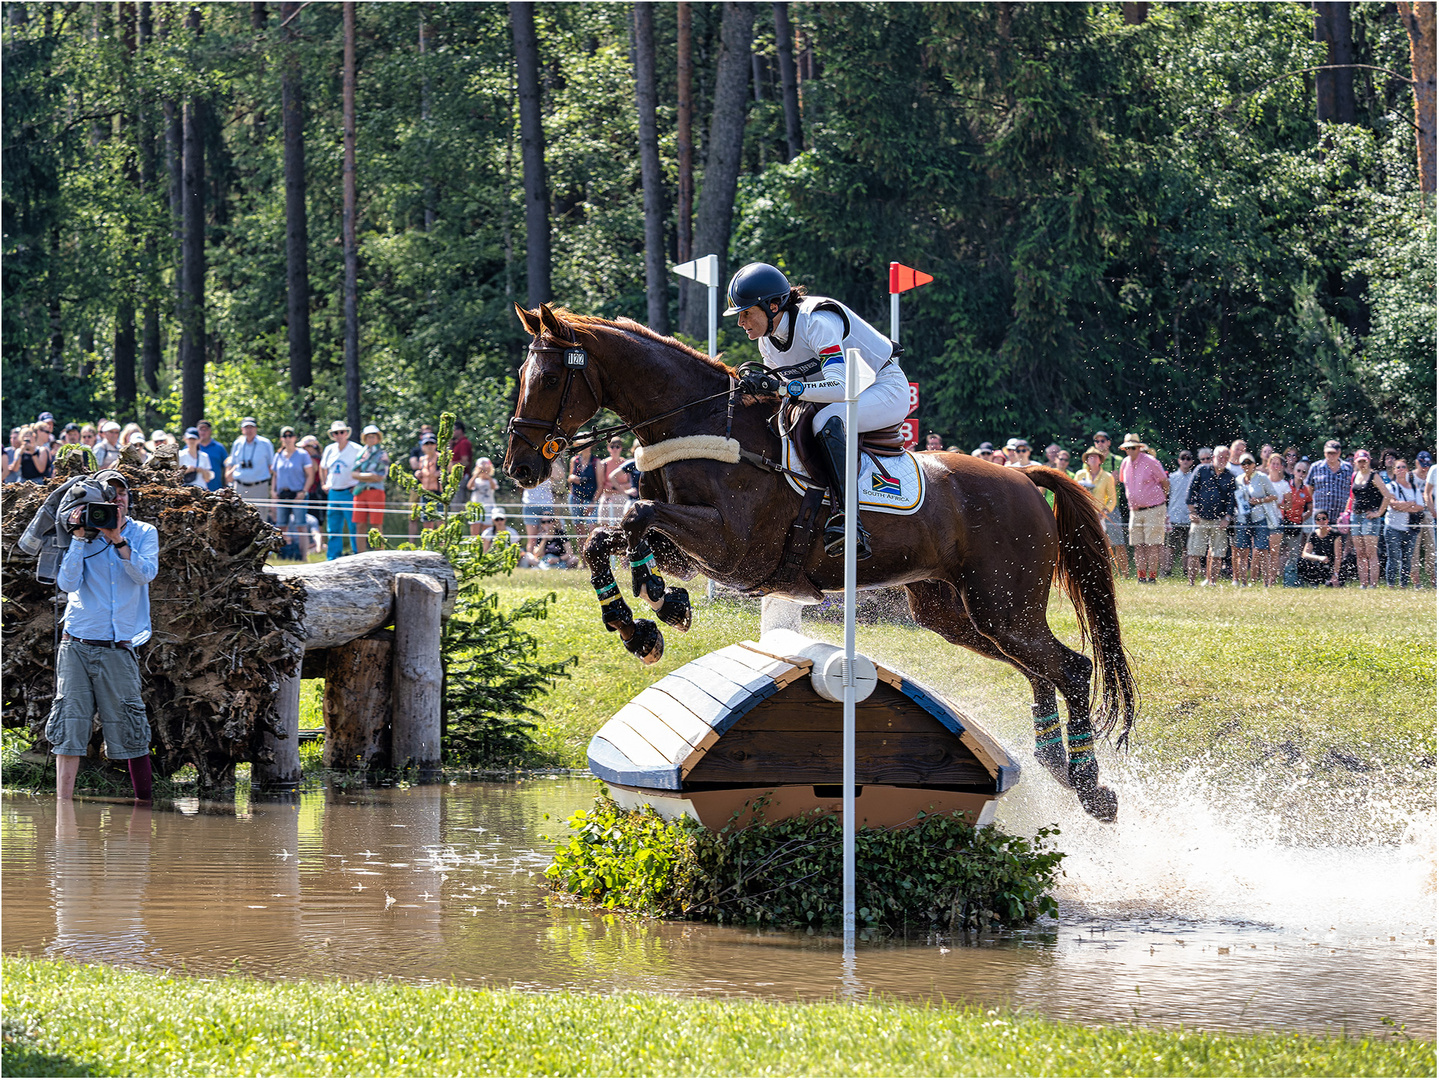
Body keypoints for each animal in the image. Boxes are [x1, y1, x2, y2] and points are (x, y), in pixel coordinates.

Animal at [506, 304, 1133, 816]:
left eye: (551, 378)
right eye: (522, 377)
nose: (520, 468)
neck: (702, 424)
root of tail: (1023, 477)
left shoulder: (732, 548)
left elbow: (635, 515)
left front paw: (654, 609)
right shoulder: (696, 549)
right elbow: (608, 536)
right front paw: (644, 618)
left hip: (1002, 606)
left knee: (1071, 666)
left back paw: (1091, 786)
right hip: (956, 614)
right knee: (1041, 668)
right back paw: (1058, 766)